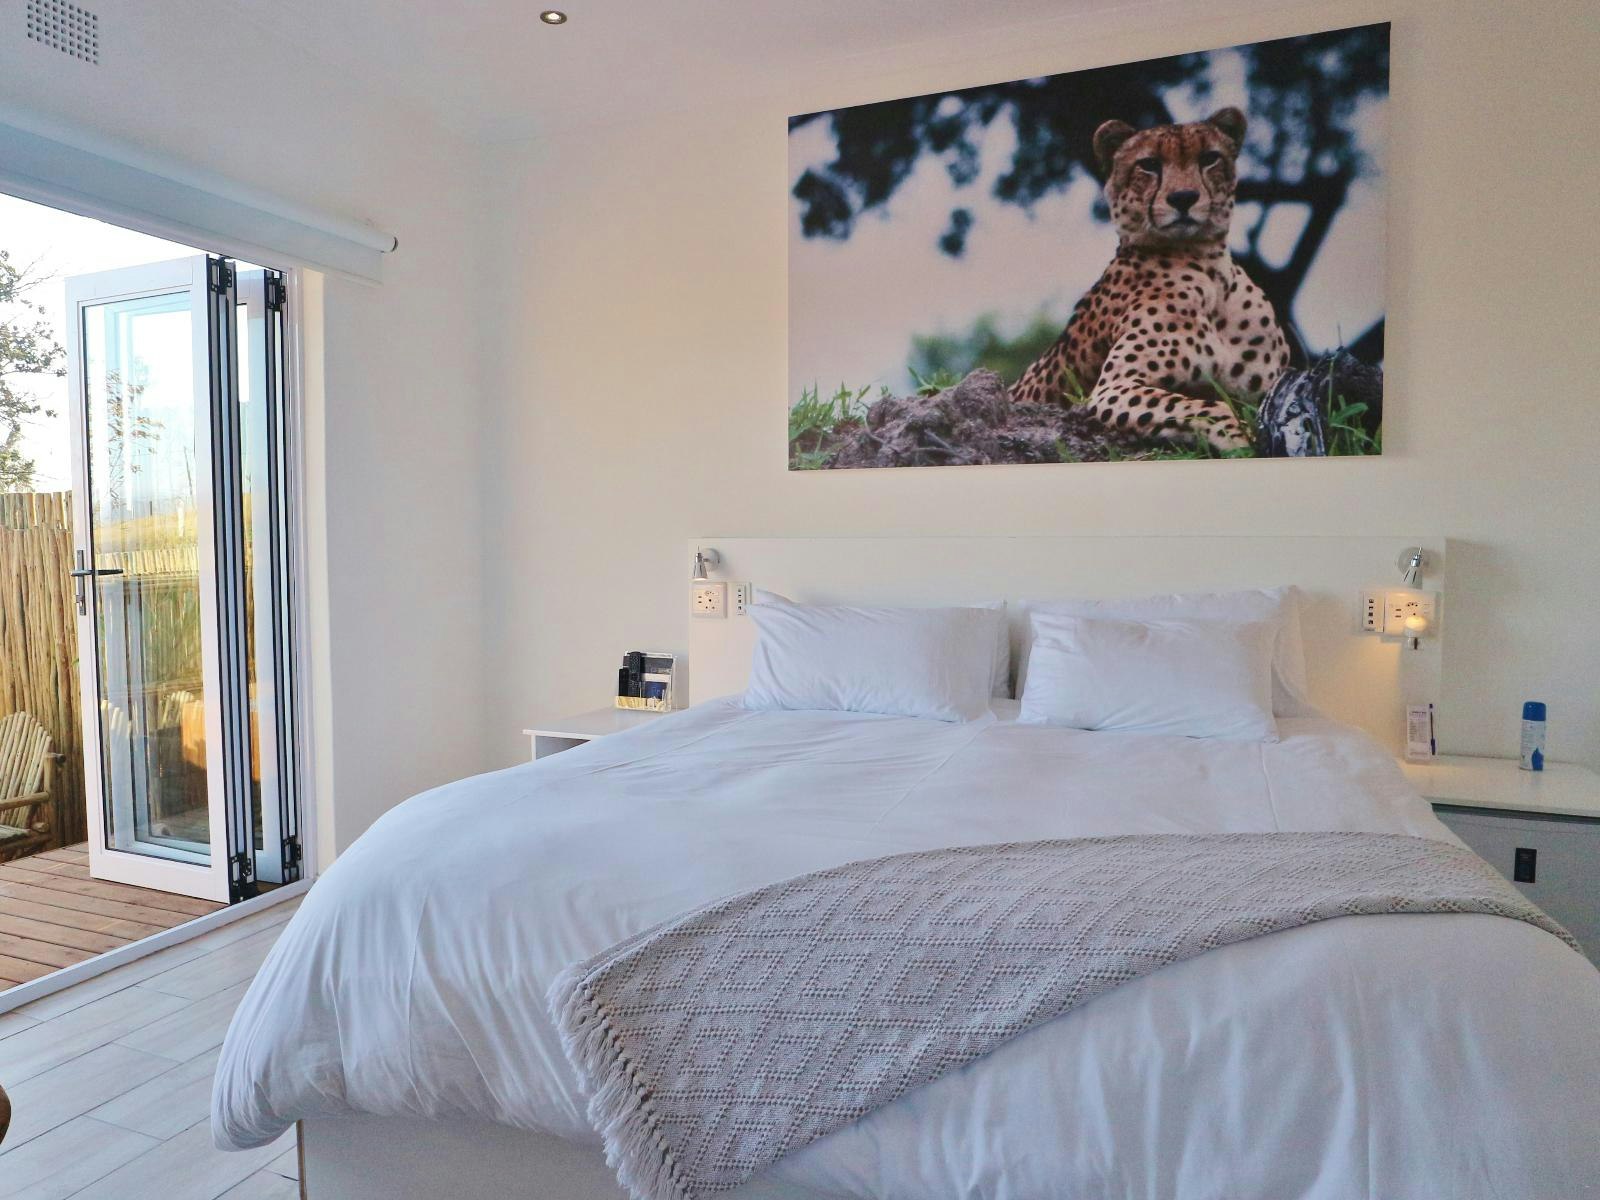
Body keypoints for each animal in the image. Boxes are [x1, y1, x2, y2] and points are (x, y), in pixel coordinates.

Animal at [1009, 107, 1291, 452]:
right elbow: (1206, 406)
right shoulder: (1112, 388)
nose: (1183, 197)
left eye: (1209, 158)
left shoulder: (1269, 388)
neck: (1209, 269)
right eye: (1149, 164)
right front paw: (1241, 440)